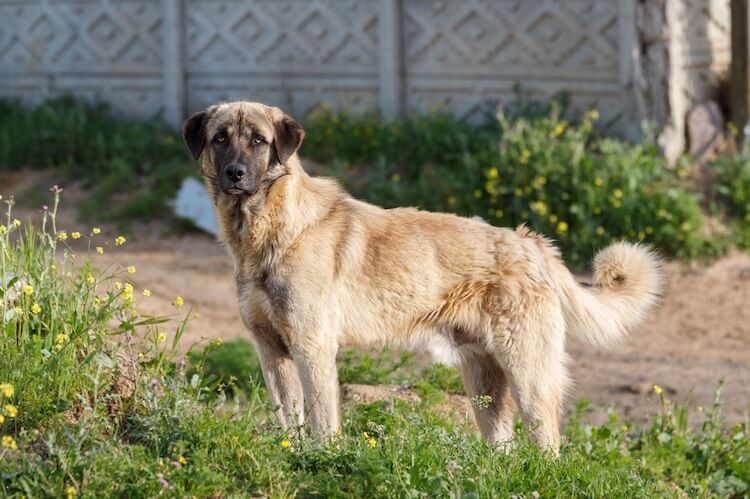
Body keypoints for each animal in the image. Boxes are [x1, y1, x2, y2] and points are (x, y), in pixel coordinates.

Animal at [182, 101, 664, 454]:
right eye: (220, 139)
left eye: (259, 141)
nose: (235, 174)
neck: (270, 230)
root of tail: (533, 244)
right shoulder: (271, 351)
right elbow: (288, 418)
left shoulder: (312, 347)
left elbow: (321, 420)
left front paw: (321, 458)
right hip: (484, 382)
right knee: (503, 445)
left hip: (529, 372)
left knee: (548, 443)